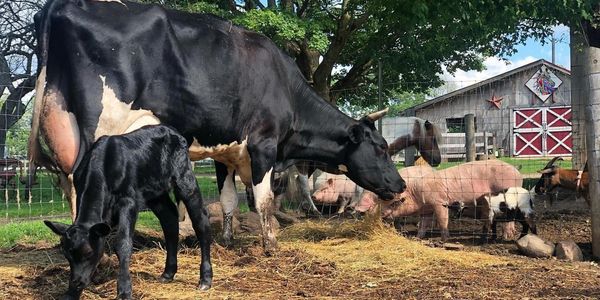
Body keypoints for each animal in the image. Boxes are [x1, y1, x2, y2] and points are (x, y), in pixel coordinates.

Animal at [28, 0, 404, 253]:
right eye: (380, 148)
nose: (400, 185)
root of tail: (60, 5)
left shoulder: (226, 153)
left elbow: (228, 200)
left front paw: (227, 240)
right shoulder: (263, 144)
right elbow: (265, 200)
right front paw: (271, 245)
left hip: (63, 124)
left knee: (69, 183)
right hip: (101, 127)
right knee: (84, 185)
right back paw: (103, 255)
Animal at [44, 125, 211, 300]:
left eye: (89, 253)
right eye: (66, 255)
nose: (76, 283)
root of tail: (170, 129)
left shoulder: (128, 201)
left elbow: (123, 244)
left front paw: (124, 290)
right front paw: (72, 293)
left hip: (185, 178)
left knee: (200, 221)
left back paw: (205, 279)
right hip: (155, 193)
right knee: (169, 219)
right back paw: (168, 273)